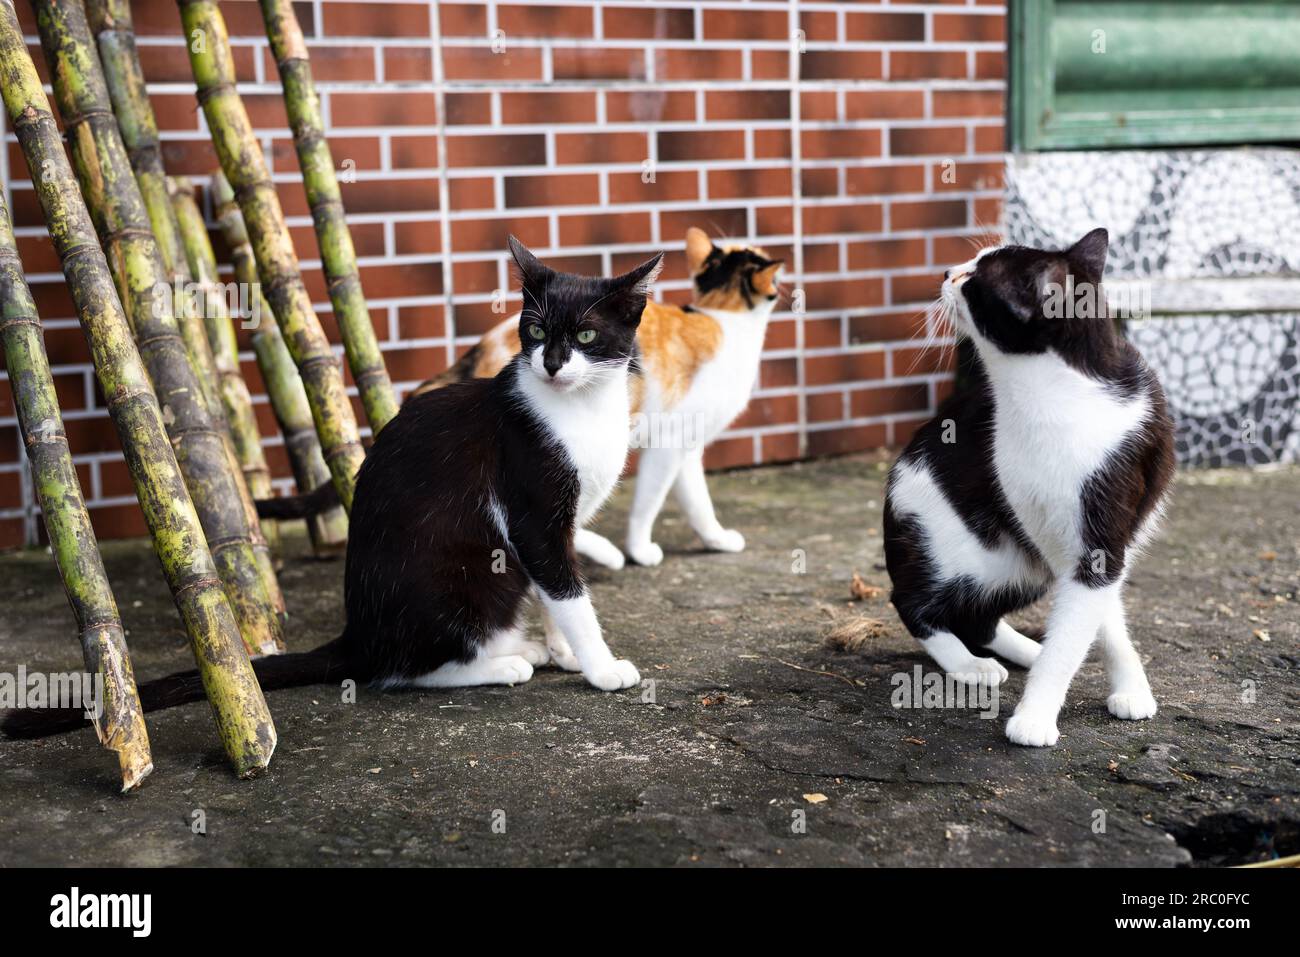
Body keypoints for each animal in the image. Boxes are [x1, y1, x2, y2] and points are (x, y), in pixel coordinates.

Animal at [2, 239, 660, 738]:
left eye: (587, 337)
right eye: (537, 327)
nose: (551, 363)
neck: (578, 410)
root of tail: (356, 633)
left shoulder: (559, 526)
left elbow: (557, 595)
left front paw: (569, 653)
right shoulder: (532, 513)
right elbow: (568, 591)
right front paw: (602, 668)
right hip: (464, 582)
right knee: (397, 670)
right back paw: (504, 664)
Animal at [416, 227, 780, 572]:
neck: (722, 316)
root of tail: (477, 352)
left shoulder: (686, 444)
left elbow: (696, 498)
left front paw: (715, 539)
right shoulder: (668, 441)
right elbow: (649, 499)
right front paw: (639, 550)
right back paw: (605, 553)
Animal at [883, 230, 1180, 748]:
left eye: (974, 279)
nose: (947, 272)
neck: (1052, 395)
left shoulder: (1098, 537)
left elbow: (1095, 614)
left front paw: (1125, 686)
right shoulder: (1035, 515)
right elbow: (1087, 615)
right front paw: (1038, 715)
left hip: (1018, 565)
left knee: (978, 616)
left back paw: (1020, 651)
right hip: (955, 543)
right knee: (912, 600)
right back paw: (968, 664)